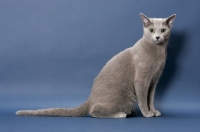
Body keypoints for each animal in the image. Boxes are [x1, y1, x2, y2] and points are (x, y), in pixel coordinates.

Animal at [16, 13, 175, 118]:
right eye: (151, 30)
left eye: (163, 30)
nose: (157, 37)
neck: (158, 52)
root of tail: (90, 98)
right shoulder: (141, 80)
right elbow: (143, 99)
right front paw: (147, 113)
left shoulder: (154, 80)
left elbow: (150, 98)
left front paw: (153, 111)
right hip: (122, 97)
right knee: (94, 111)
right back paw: (120, 114)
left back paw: (131, 112)